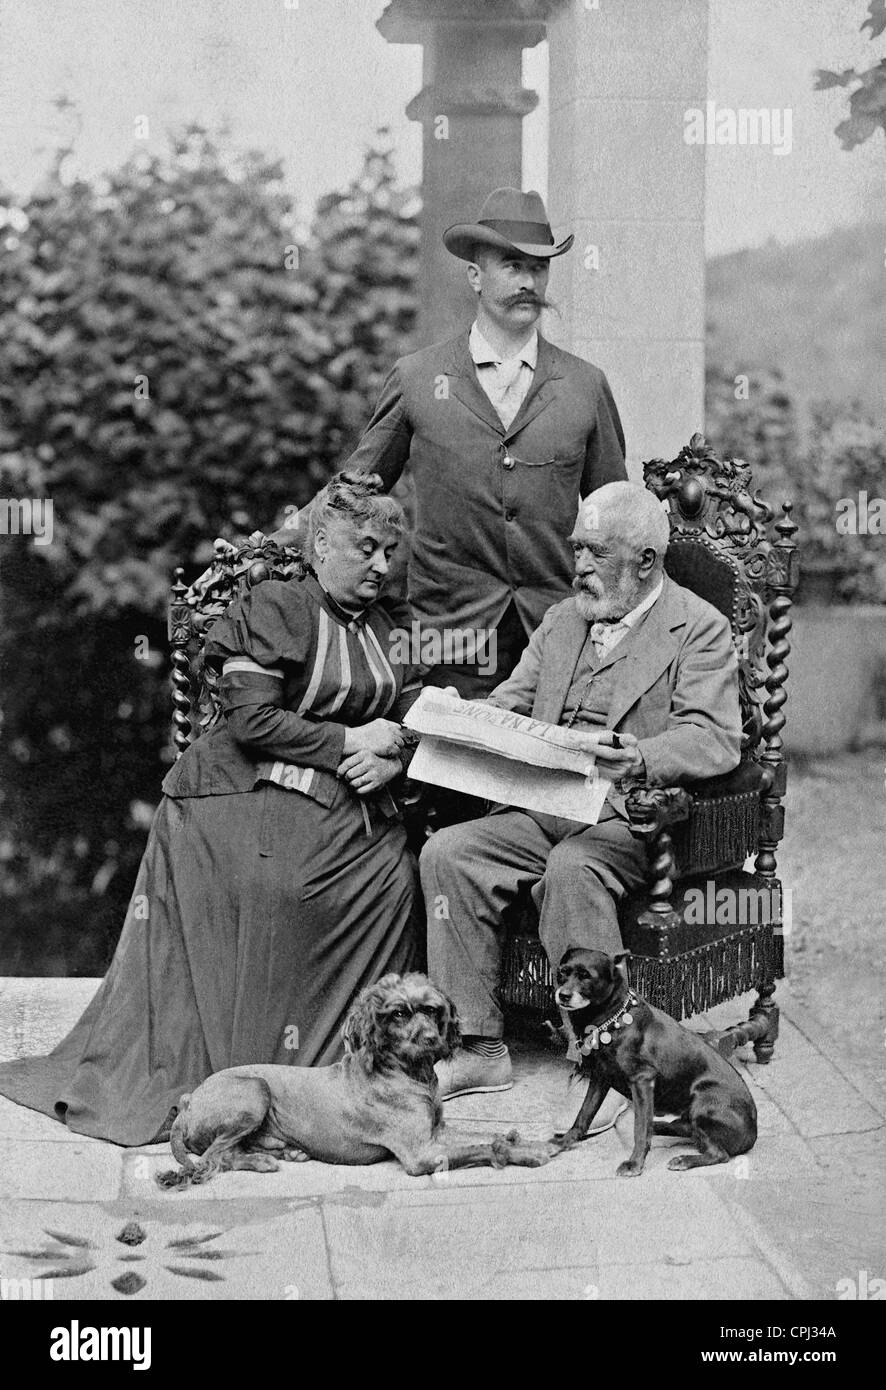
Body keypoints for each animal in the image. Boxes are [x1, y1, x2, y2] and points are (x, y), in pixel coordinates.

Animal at [157, 973, 559, 1189]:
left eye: (431, 1009)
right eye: (398, 1014)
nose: (432, 1039)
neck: (410, 1074)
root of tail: (188, 1101)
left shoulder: (437, 1133)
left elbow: (482, 1135)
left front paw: (535, 1141)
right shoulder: (419, 1154)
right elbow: (483, 1146)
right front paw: (529, 1152)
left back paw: (286, 1151)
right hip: (255, 1090)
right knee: (214, 1157)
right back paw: (262, 1161)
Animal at [553, 945, 751, 1173]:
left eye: (586, 976)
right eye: (562, 972)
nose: (563, 995)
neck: (610, 1019)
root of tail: (752, 1134)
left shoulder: (642, 1080)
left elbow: (639, 1130)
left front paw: (635, 1163)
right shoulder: (600, 1078)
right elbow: (583, 1115)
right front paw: (565, 1141)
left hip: (702, 1103)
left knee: (719, 1154)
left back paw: (683, 1159)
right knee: (681, 1128)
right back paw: (660, 1126)